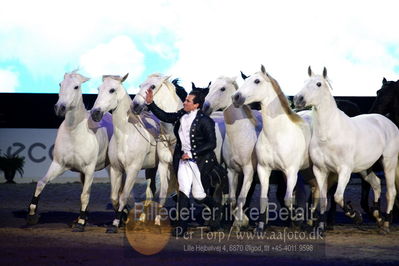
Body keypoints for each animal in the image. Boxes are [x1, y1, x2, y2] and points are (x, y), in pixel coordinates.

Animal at [26, 69, 114, 232]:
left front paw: (80, 224)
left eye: (76, 87)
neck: (74, 133)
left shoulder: (89, 169)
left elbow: (85, 195)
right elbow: (41, 183)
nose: (60, 107)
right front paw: (32, 215)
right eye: (60, 84)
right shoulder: (58, 165)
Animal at [90, 74, 166, 232]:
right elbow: (114, 197)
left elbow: (123, 196)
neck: (125, 135)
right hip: (151, 168)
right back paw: (143, 220)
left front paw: (115, 225)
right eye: (99, 89)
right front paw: (120, 219)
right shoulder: (116, 169)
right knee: (151, 192)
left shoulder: (132, 170)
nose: (95, 113)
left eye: (112, 90)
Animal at [203, 75, 262, 229]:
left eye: (222, 88)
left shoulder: (248, 171)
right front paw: (236, 219)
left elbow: (241, 198)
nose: (205, 107)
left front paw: (239, 223)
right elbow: (232, 199)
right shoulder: (231, 171)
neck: (239, 136)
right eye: (209, 88)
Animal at [294, 67, 399, 233]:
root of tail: (388, 122)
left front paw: (355, 215)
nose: (298, 99)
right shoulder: (320, 170)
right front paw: (320, 227)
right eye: (304, 81)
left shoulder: (344, 170)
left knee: (391, 192)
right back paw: (378, 217)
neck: (330, 134)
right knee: (376, 183)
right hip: (365, 168)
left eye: (319, 84)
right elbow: (323, 199)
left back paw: (386, 223)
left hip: (389, 163)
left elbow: (337, 197)